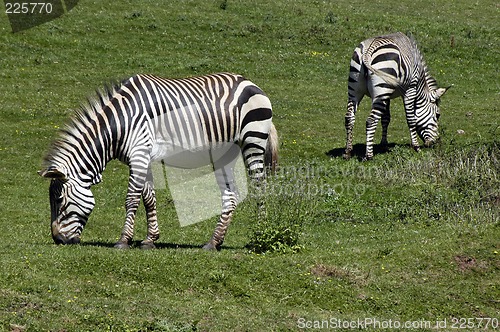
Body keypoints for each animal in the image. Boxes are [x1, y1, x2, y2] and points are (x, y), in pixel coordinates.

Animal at [38, 72, 282, 249]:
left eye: (59, 200)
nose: (58, 240)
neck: (120, 124)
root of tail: (252, 84)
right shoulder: (143, 158)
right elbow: (148, 198)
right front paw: (150, 239)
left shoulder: (139, 155)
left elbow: (131, 199)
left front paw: (123, 240)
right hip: (225, 154)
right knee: (230, 197)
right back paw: (214, 242)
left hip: (252, 141)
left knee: (260, 187)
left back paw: (260, 237)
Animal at [344, 31, 450, 160]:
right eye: (437, 115)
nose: (434, 143)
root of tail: (367, 52)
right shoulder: (410, 89)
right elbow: (411, 119)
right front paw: (416, 147)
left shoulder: (387, 96)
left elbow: (386, 118)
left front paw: (384, 144)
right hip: (381, 86)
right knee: (371, 120)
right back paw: (369, 155)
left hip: (358, 89)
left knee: (349, 117)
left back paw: (348, 151)